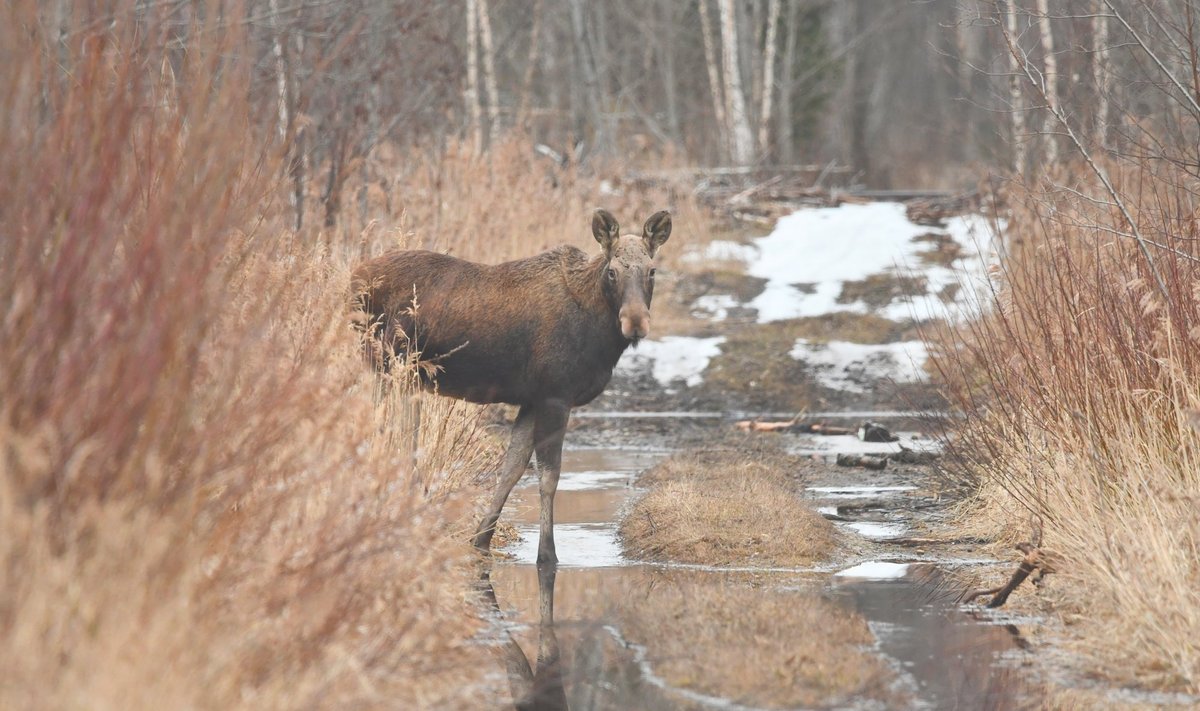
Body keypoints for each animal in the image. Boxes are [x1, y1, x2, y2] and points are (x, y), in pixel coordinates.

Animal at [352, 207, 676, 564]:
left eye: (652, 271)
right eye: (613, 272)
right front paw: (547, 553)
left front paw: (481, 538)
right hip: (391, 368)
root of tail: (352, 279)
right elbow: (549, 476)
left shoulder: (532, 400)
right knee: (387, 438)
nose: (635, 322)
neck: (599, 334)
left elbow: (513, 468)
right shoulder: (555, 396)